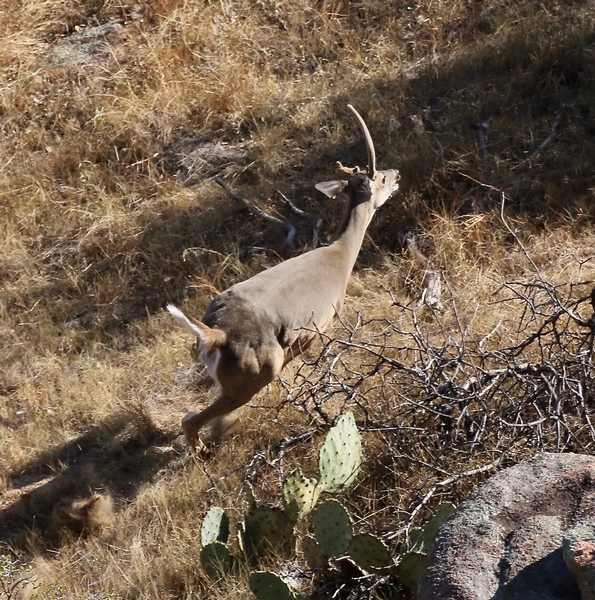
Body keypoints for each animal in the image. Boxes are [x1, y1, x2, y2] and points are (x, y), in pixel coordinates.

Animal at [168, 104, 400, 450]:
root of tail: (216, 335)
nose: (397, 173)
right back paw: (207, 445)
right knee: (192, 418)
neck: (340, 256)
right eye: (381, 177)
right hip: (256, 372)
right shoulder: (321, 327)